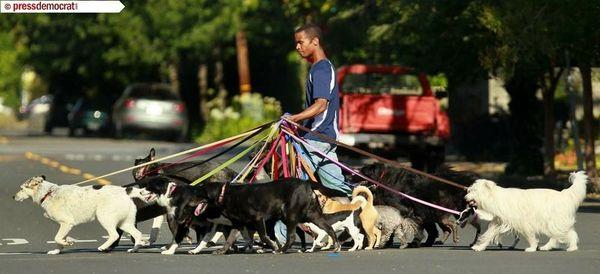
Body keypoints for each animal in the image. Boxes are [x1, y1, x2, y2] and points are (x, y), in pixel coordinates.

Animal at [13, 176, 145, 255]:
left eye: (22, 188)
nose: (13, 197)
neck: (48, 193)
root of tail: (124, 192)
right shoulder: (65, 225)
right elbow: (59, 239)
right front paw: (58, 250)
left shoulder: (66, 223)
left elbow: (57, 238)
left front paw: (67, 243)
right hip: (125, 223)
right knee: (137, 234)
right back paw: (134, 249)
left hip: (104, 217)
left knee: (114, 235)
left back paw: (103, 247)